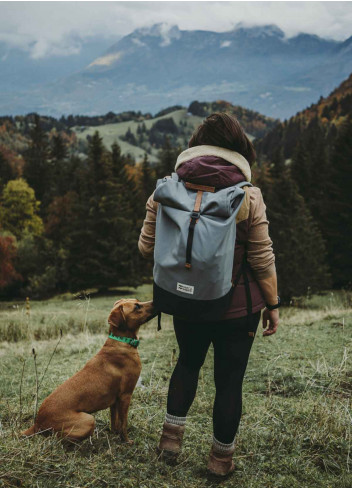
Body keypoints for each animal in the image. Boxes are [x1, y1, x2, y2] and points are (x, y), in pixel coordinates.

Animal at [20, 298, 155, 442]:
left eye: (137, 301)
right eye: (136, 307)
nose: (155, 301)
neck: (121, 341)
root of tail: (37, 422)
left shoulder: (115, 400)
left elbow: (115, 421)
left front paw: (114, 433)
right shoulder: (126, 396)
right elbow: (123, 423)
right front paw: (126, 441)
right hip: (88, 419)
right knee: (60, 438)